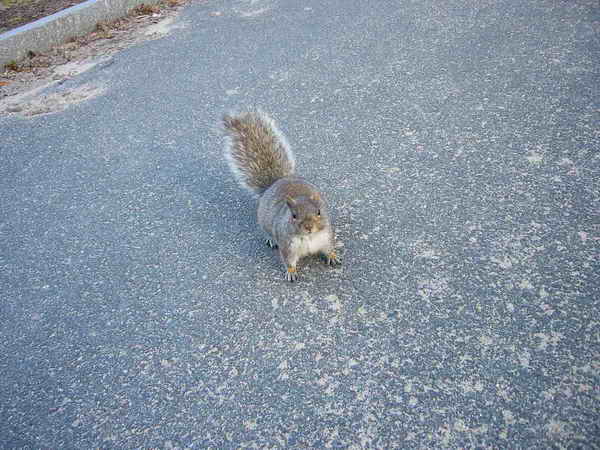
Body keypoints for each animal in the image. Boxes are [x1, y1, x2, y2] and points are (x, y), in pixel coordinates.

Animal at [221, 110, 342, 282]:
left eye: (319, 212)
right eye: (294, 215)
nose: (309, 227)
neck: (309, 238)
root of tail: (277, 182)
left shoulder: (325, 237)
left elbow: (328, 248)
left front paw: (332, 256)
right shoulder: (287, 246)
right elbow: (288, 261)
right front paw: (291, 272)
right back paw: (270, 239)